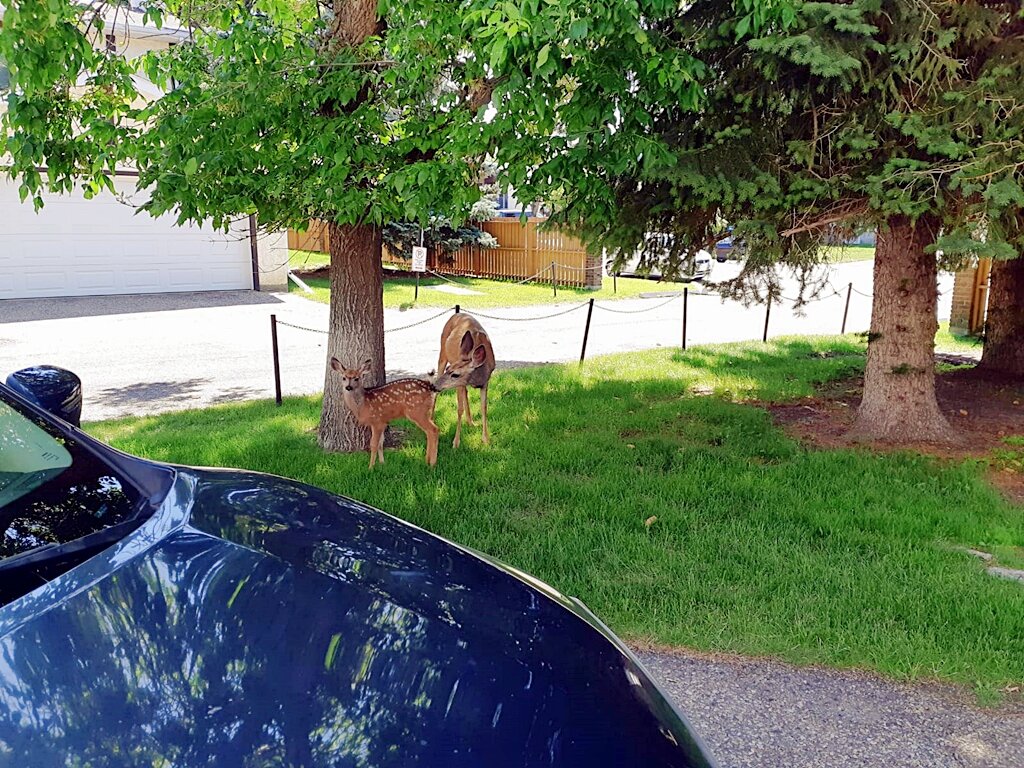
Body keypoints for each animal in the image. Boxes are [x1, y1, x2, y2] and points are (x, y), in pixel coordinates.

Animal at [432, 313, 495, 448]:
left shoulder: (485, 382)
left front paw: (486, 440)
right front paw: (456, 442)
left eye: (455, 374)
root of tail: (456, 314)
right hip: (442, 353)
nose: (435, 385)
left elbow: (484, 408)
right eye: (449, 369)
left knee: (466, 393)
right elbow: (459, 409)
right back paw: (432, 419)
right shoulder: (459, 383)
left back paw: (471, 422)